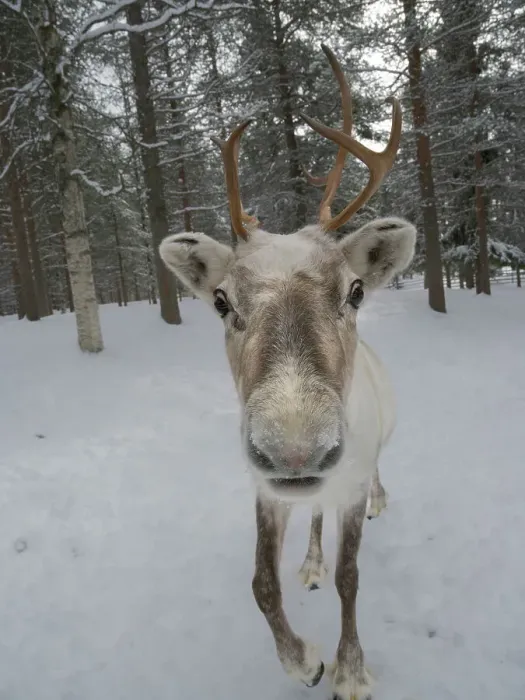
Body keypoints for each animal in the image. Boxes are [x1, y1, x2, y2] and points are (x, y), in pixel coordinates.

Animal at [159, 45, 416, 700]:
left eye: (354, 291)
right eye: (221, 300)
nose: (295, 451)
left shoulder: (349, 479)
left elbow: (352, 578)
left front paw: (350, 672)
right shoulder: (266, 489)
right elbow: (260, 583)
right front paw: (304, 661)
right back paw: (310, 562)